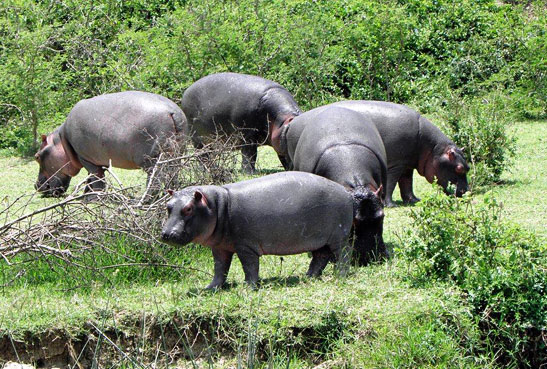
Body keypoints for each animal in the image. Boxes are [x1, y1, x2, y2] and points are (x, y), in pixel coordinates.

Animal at [35, 90, 188, 196]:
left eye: (37, 157)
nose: (36, 186)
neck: (61, 139)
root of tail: (172, 112)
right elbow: (91, 179)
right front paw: (86, 195)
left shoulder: (85, 158)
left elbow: (96, 178)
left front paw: (93, 198)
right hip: (176, 154)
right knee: (173, 174)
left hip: (151, 160)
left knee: (156, 179)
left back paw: (145, 200)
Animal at [161, 171, 354, 288]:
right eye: (168, 206)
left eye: (188, 209)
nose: (166, 234)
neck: (217, 205)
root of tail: (347, 192)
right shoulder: (220, 248)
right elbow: (220, 268)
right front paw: (211, 288)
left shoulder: (246, 246)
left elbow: (249, 266)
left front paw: (249, 287)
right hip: (322, 240)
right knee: (320, 257)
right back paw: (309, 276)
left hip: (339, 237)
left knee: (343, 255)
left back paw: (340, 276)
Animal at [286, 100, 470, 207]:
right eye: (459, 168)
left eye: (468, 167)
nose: (467, 192)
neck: (433, 148)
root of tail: (292, 124)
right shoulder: (396, 164)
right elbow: (391, 184)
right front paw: (391, 205)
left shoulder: (407, 164)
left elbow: (407, 184)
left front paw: (414, 201)